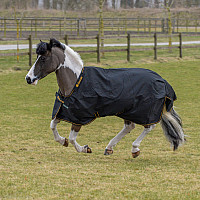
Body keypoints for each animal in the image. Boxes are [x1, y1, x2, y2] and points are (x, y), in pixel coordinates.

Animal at [25, 38, 185, 158]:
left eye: (43, 58)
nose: (28, 79)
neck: (75, 82)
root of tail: (162, 80)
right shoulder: (64, 112)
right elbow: (53, 126)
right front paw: (62, 141)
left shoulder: (79, 117)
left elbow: (72, 138)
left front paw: (85, 148)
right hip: (127, 111)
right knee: (129, 126)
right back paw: (109, 148)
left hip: (144, 112)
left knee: (149, 126)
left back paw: (135, 149)